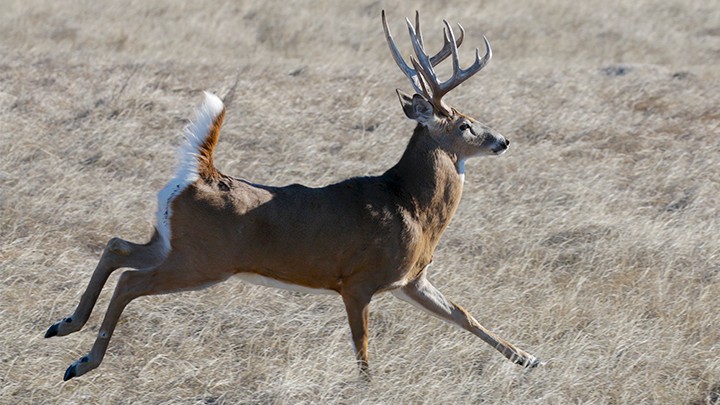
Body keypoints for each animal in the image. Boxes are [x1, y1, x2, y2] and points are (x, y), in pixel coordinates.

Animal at [45, 11, 540, 380]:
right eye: (465, 125)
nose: (502, 140)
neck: (412, 208)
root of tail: (201, 175)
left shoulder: (410, 279)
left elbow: (463, 314)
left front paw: (529, 358)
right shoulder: (358, 282)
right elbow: (363, 353)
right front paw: (367, 388)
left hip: (171, 242)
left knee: (117, 247)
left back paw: (63, 326)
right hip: (203, 261)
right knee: (130, 280)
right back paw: (82, 362)